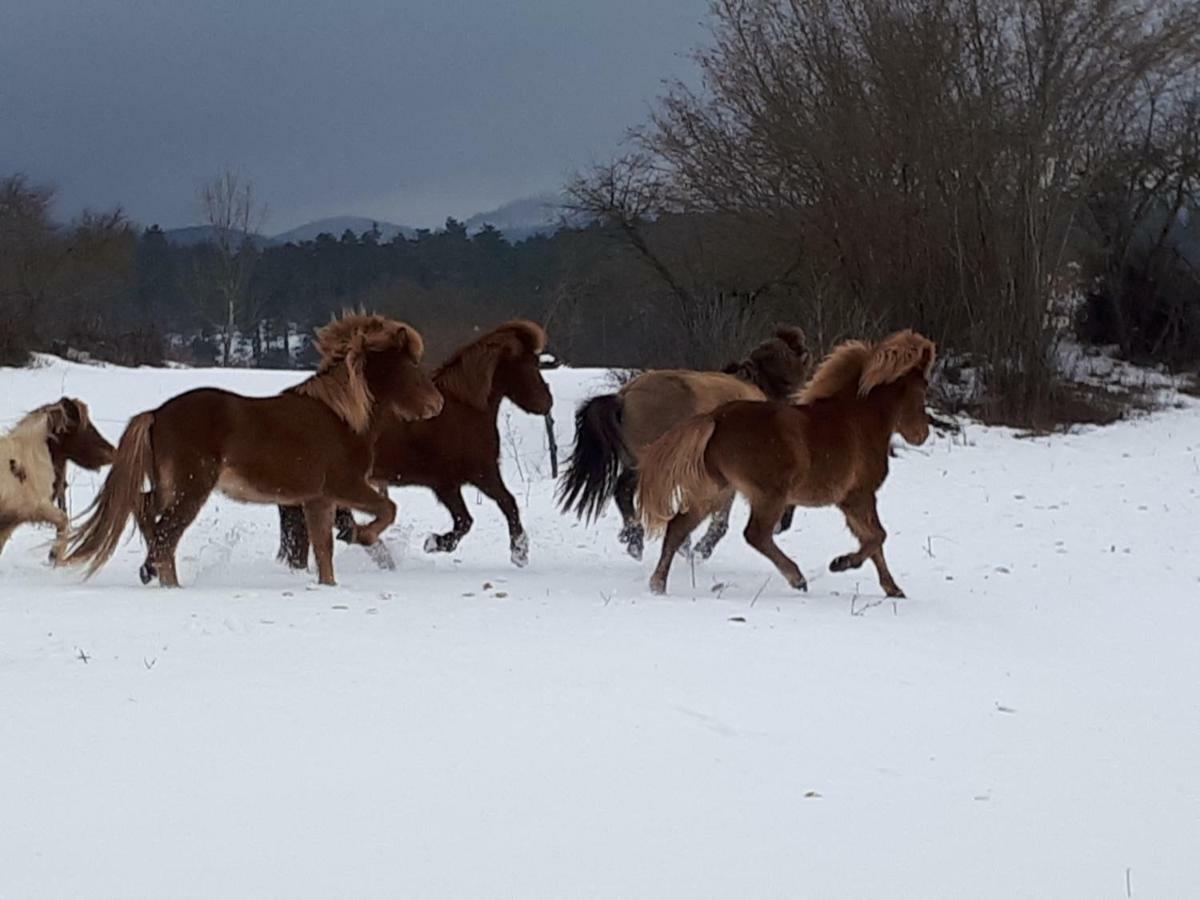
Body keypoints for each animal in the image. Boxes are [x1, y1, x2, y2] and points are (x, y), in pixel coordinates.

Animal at [63, 314, 444, 588]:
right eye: (412, 366)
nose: (437, 405)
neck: (343, 418)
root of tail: (156, 414)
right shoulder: (345, 487)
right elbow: (387, 509)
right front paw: (361, 535)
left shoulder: (318, 499)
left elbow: (324, 550)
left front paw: (329, 584)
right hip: (191, 488)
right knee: (166, 534)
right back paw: (165, 581)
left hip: (170, 487)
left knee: (147, 513)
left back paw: (156, 574)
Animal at [276, 316, 552, 571]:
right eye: (531, 363)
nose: (546, 403)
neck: (465, 410)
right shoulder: (476, 475)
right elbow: (496, 509)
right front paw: (518, 552)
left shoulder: (451, 483)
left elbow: (474, 516)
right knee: (341, 521)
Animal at [638, 331, 936, 600]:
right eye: (923, 387)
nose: (922, 435)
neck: (859, 420)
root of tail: (715, 418)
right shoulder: (858, 497)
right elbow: (877, 538)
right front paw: (840, 564)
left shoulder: (852, 501)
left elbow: (874, 542)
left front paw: (893, 589)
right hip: (768, 495)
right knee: (755, 534)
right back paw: (797, 578)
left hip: (714, 493)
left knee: (677, 527)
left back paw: (657, 585)